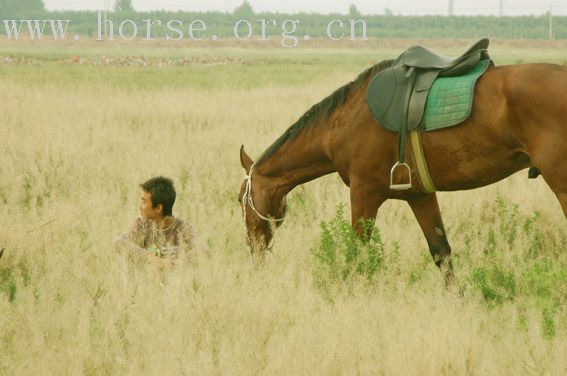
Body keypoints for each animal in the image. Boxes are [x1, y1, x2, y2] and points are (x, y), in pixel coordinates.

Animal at [239, 58, 567, 286]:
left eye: (241, 200)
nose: (253, 250)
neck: (344, 119)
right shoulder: (419, 196)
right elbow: (441, 253)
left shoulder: (363, 193)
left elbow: (357, 252)